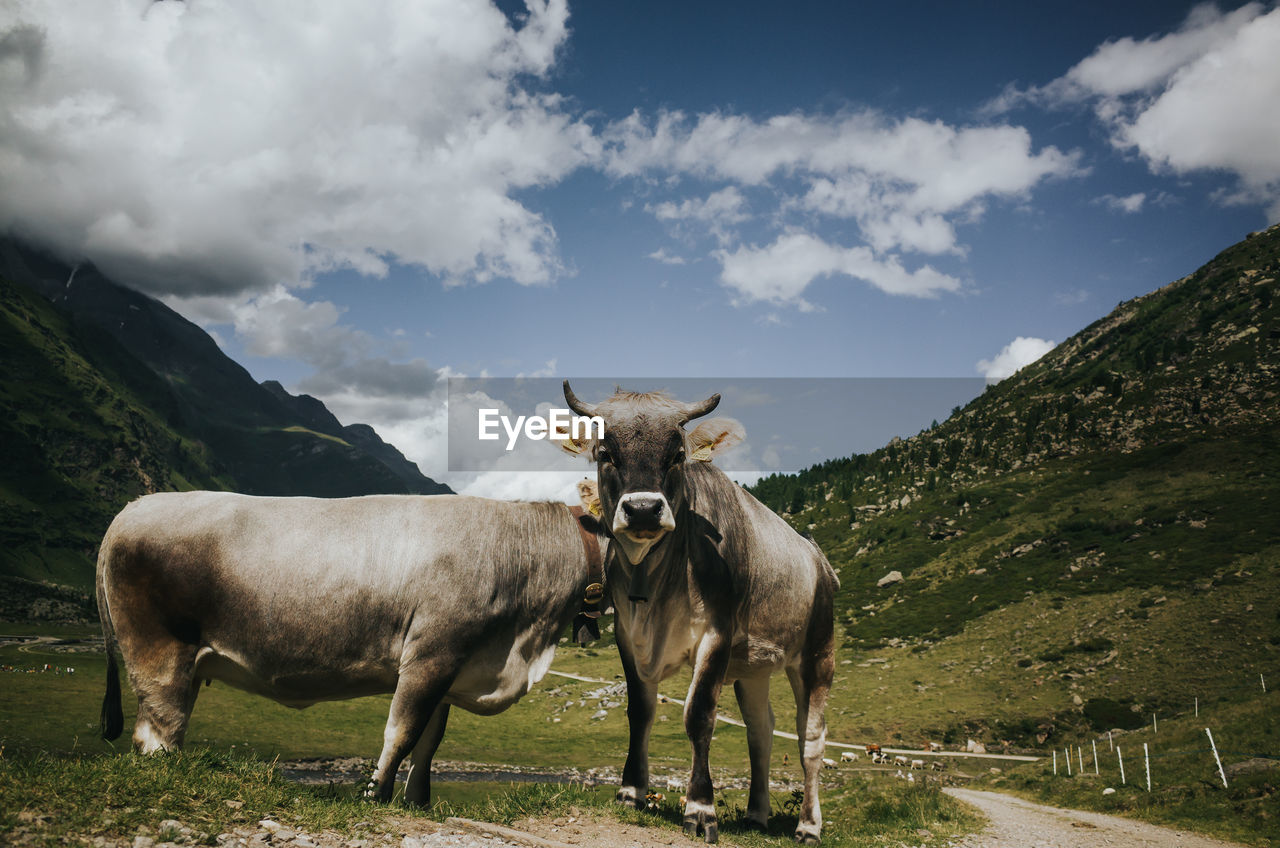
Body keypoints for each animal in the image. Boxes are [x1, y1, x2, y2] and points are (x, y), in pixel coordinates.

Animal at [94, 489, 604, 809]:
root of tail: (133, 509)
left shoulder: (453, 668)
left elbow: (428, 746)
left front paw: (416, 805)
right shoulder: (432, 654)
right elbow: (401, 733)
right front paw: (375, 796)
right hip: (159, 654)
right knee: (157, 735)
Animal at [563, 384, 839, 845]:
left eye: (677, 454)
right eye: (605, 452)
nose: (643, 509)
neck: (655, 586)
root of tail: (819, 559)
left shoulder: (717, 634)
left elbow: (699, 716)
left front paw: (700, 809)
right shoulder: (627, 634)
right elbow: (640, 712)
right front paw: (630, 792)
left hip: (818, 653)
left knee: (811, 738)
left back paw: (808, 826)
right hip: (754, 667)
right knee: (761, 730)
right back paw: (756, 815)